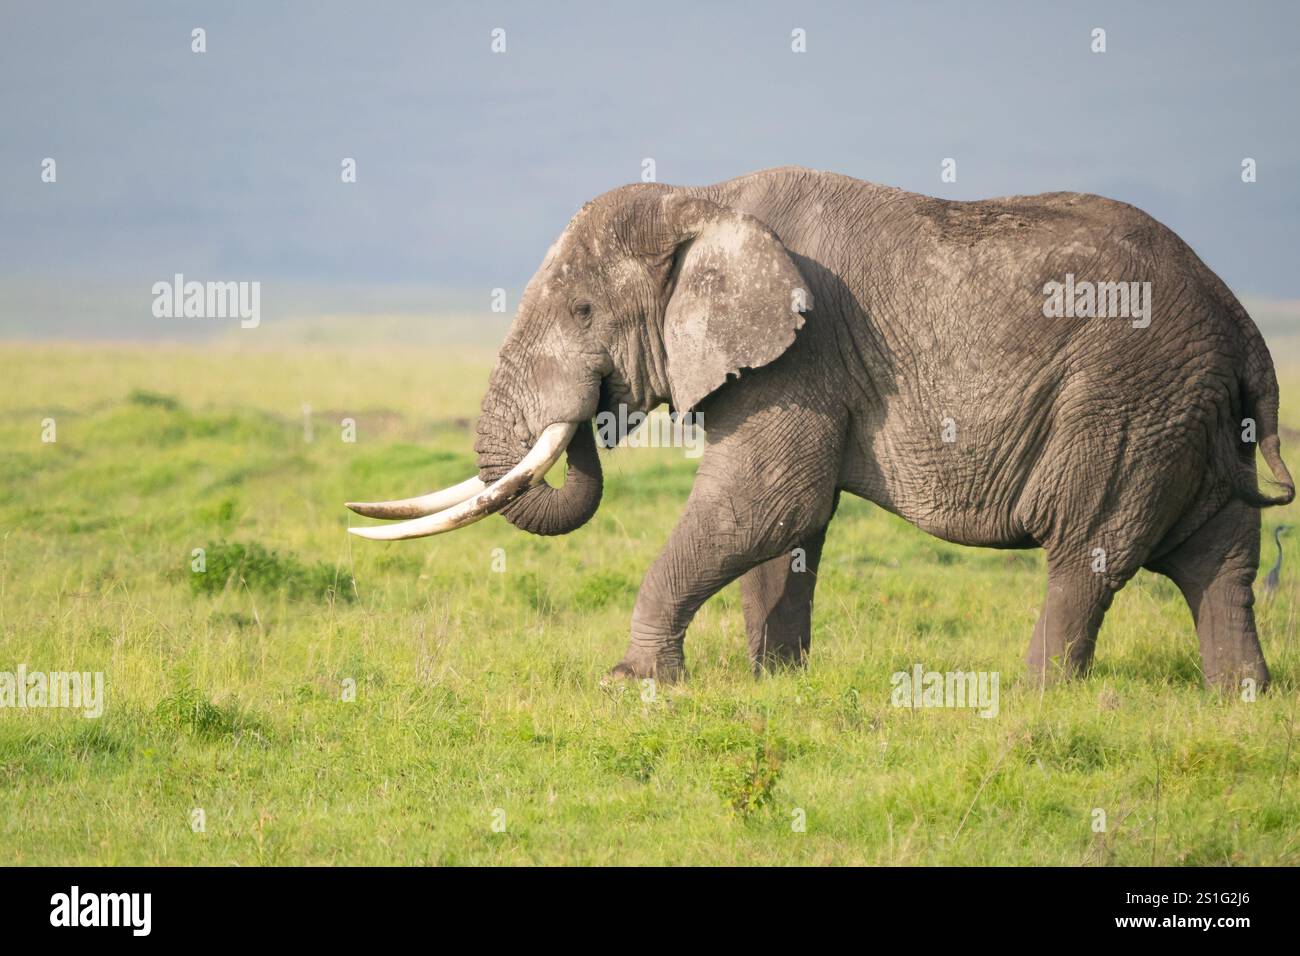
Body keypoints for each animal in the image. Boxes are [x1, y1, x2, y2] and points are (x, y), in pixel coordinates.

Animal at [346, 166, 1294, 691]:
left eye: (583, 311)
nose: (589, 414)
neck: (706, 199)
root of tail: (1243, 325)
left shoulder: (802, 353)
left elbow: (768, 504)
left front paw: (632, 685)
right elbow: (785, 531)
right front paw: (775, 686)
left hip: (1127, 400)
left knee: (1086, 550)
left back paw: (1034, 699)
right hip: (1190, 415)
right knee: (1221, 561)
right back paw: (1239, 702)